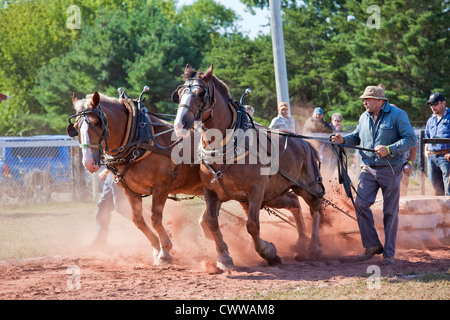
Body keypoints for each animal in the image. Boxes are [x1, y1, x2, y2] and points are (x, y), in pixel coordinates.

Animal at [67, 90, 203, 264]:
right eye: (76, 127)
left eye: (96, 123)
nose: (89, 162)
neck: (140, 140)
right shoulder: (130, 190)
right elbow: (138, 220)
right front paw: (156, 248)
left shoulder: (162, 186)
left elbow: (155, 218)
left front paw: (165, 251)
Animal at [173, 63, 326, 268]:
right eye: (180, 93)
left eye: (200, 93)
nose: (179, 124)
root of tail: (304, 143)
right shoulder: (211, 191)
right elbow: (211, 221)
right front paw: (224, 257)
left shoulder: (256, 191)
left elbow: (252, 226)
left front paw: (269, 252)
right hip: (274, 195)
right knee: (295, 204)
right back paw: (301, 242)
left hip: (306, 187)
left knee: (316, 208)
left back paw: (314, 246)